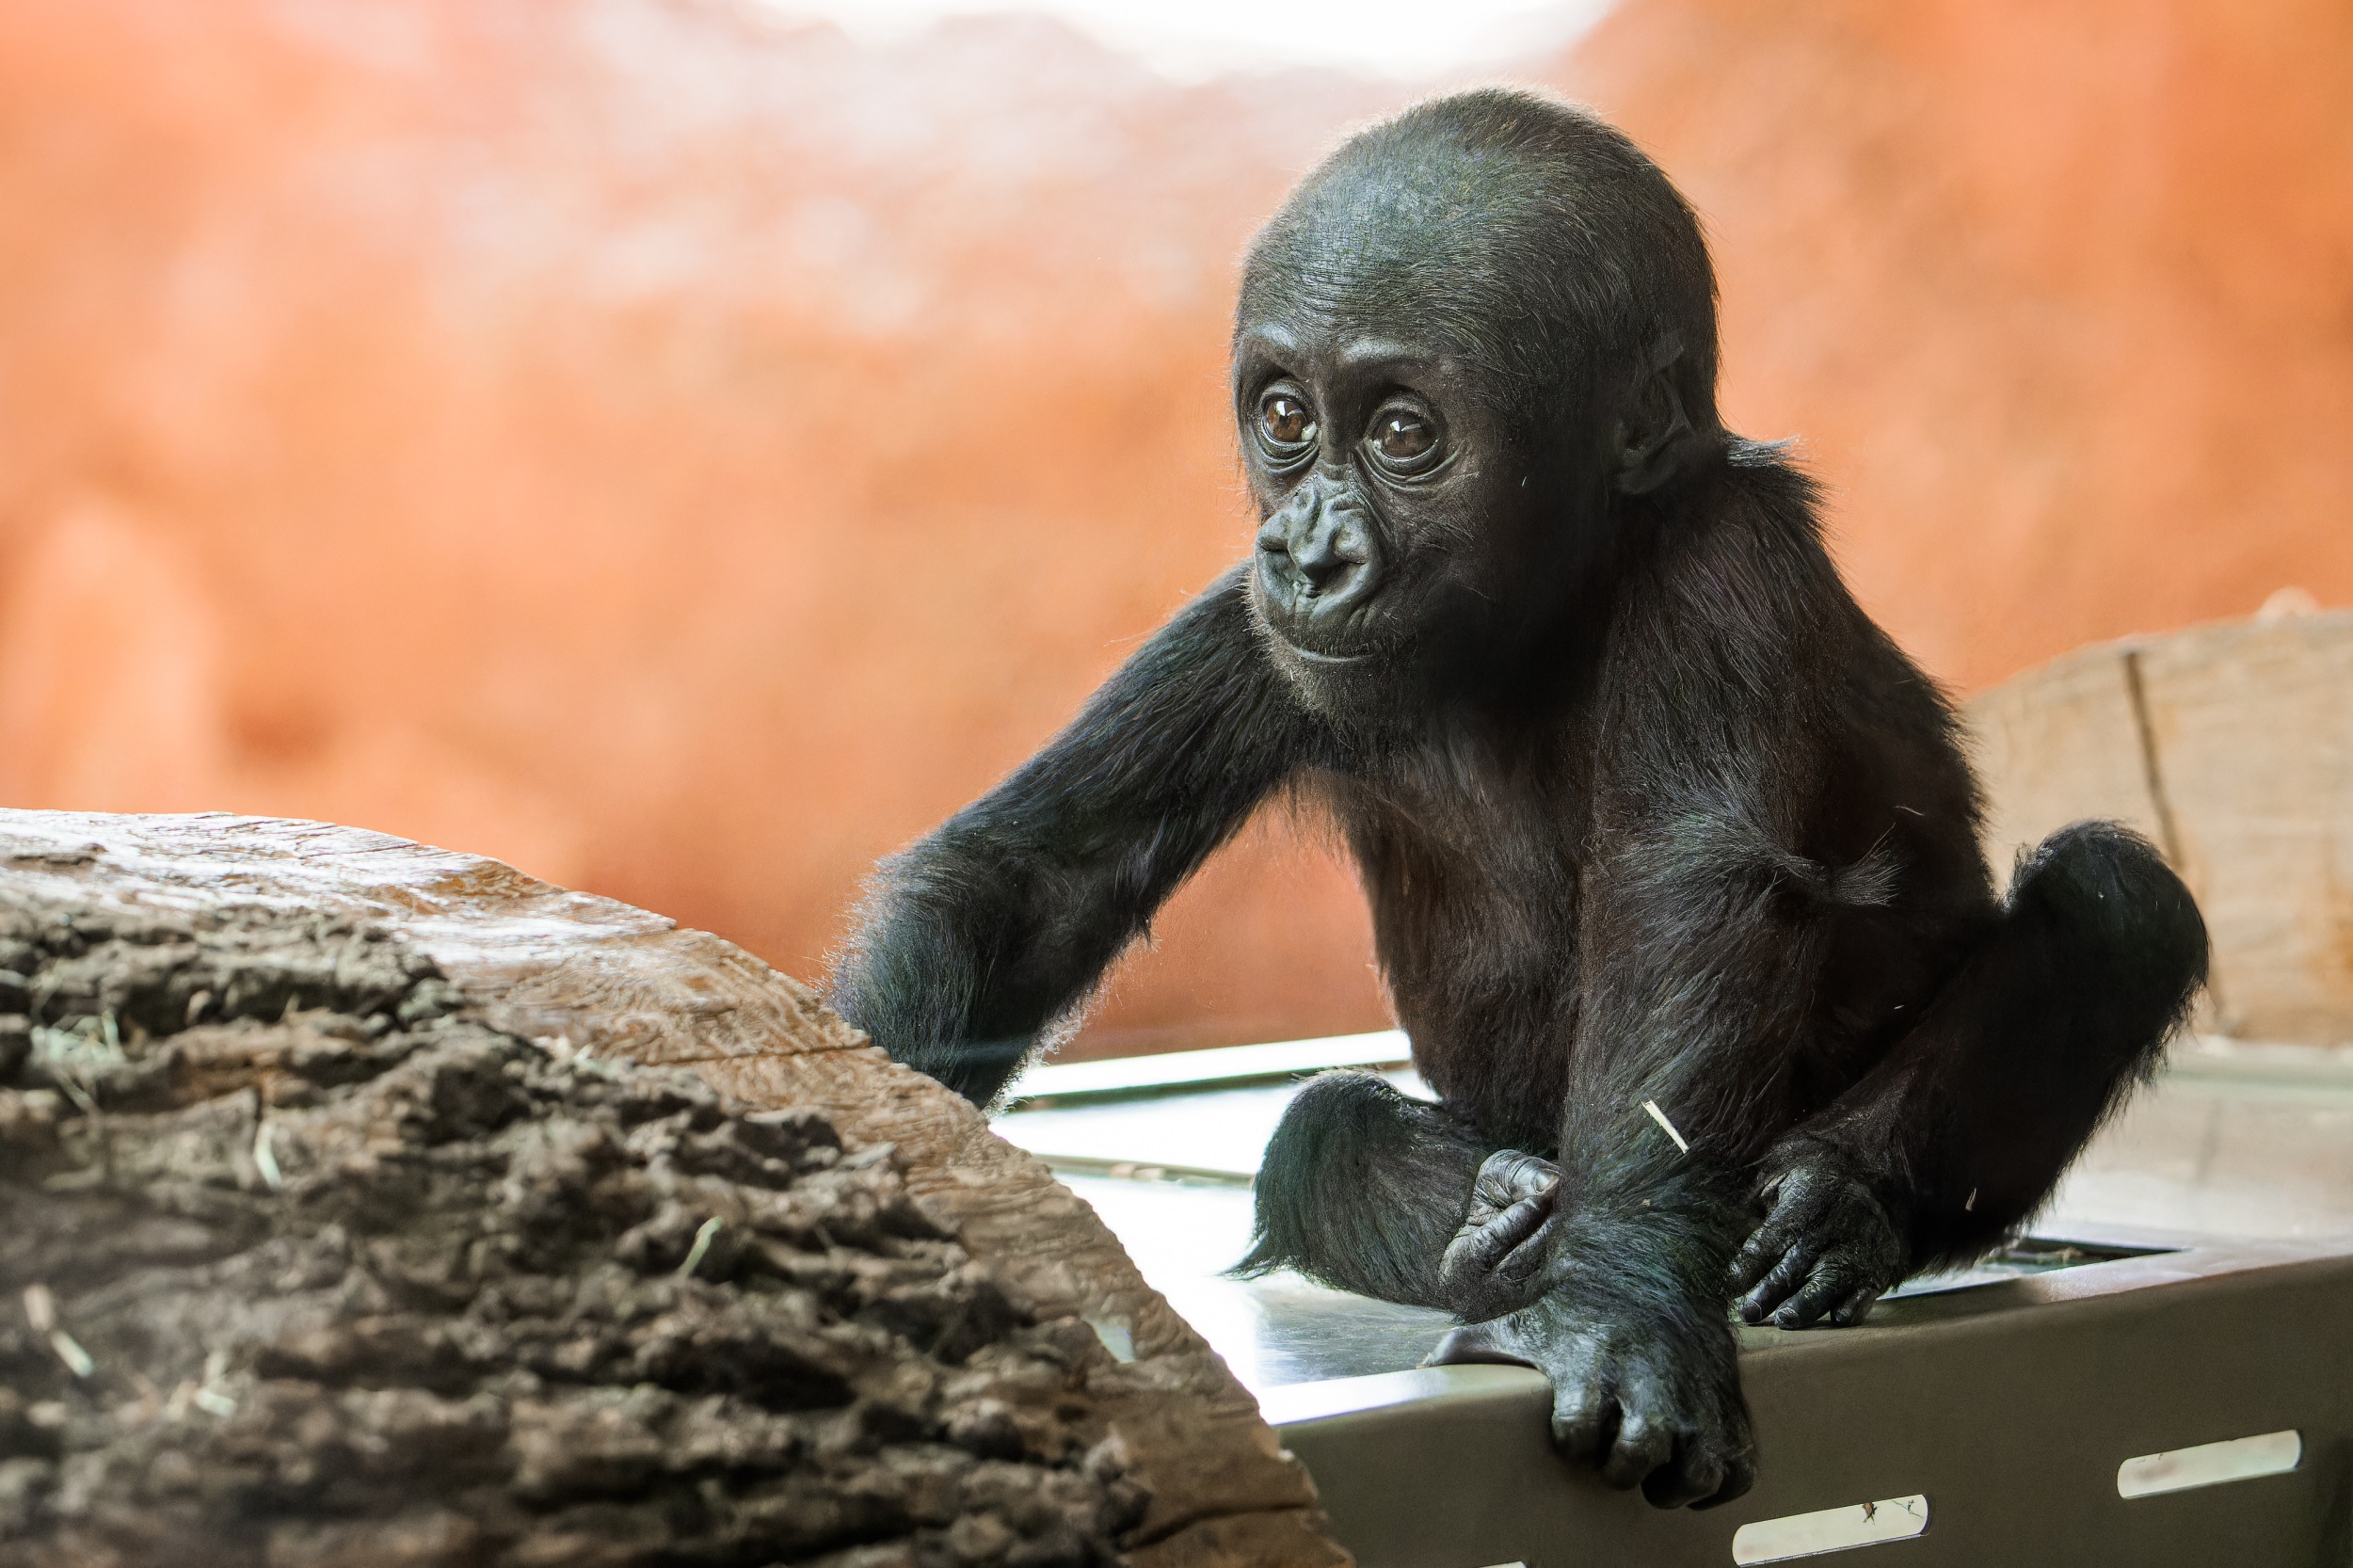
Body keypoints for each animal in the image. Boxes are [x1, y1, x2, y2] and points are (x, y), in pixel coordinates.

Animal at [838, 91, 2212, 1506]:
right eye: (1284, 416)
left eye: (1401, 433)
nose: (1312, 550)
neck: (1538, 613)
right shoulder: (1246, 625)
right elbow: (1039, 877)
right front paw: (858, 1159)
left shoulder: (1730, 566)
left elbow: (1682, 887)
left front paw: (1615, 1304)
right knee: (1318, 1133)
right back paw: (1493, 1220)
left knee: (2118, 903)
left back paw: (1835, 1207)